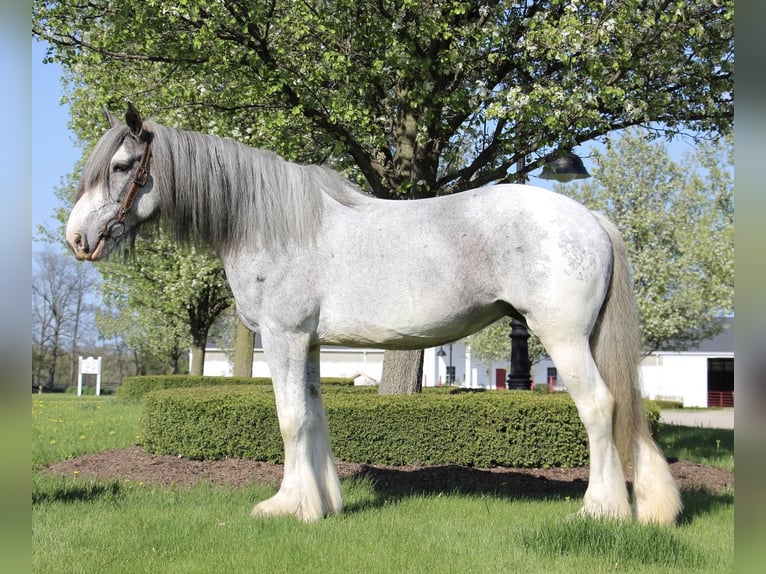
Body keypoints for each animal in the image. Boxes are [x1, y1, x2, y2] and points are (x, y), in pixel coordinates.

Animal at [67, 103, 684, 528]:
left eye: (122, 165)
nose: (76, 238)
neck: (272, 223)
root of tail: (589, 218)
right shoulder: (310, 344)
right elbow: (314, 418)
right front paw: (322, 504)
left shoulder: (283, 338)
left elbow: (289, 420)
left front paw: (286, 506)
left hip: (563, 338)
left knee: (599, 408)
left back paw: (600, 510)